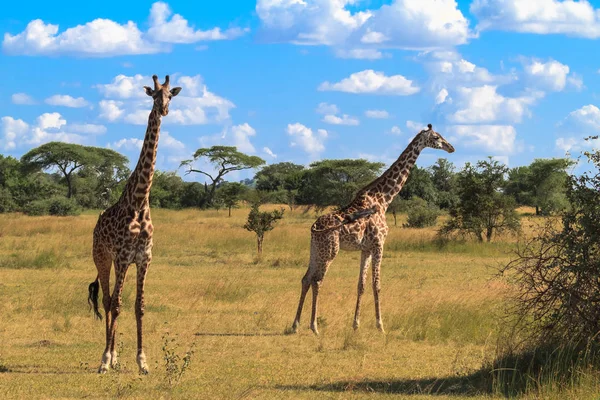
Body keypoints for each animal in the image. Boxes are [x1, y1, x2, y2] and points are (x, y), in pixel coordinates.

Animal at [86, 76, 180, 376]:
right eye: (154, 95)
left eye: (170, 96)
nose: (163, 110)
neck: (139, 200)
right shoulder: (123, 256)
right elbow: (116, 305)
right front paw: (106, 359)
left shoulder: (143, 258)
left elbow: (139, 306)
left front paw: (142, 361)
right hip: (102, 258)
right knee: (107, 300)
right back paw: (108, 358)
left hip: (120, 263)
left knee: (116, 301)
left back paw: (116, 357)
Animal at [290, 124, 454, 334]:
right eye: (436, 137)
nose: (451, 147)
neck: (383, 199)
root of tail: (314, 227)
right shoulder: (378, 244)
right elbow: (377, 285)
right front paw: (380, 325)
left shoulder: (366, 248)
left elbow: (361, 284)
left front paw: (356, 324)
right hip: (330, 251)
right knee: (317, 281)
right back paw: (314, 326)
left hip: (315, 250)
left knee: (305, 279)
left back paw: (295, 325)